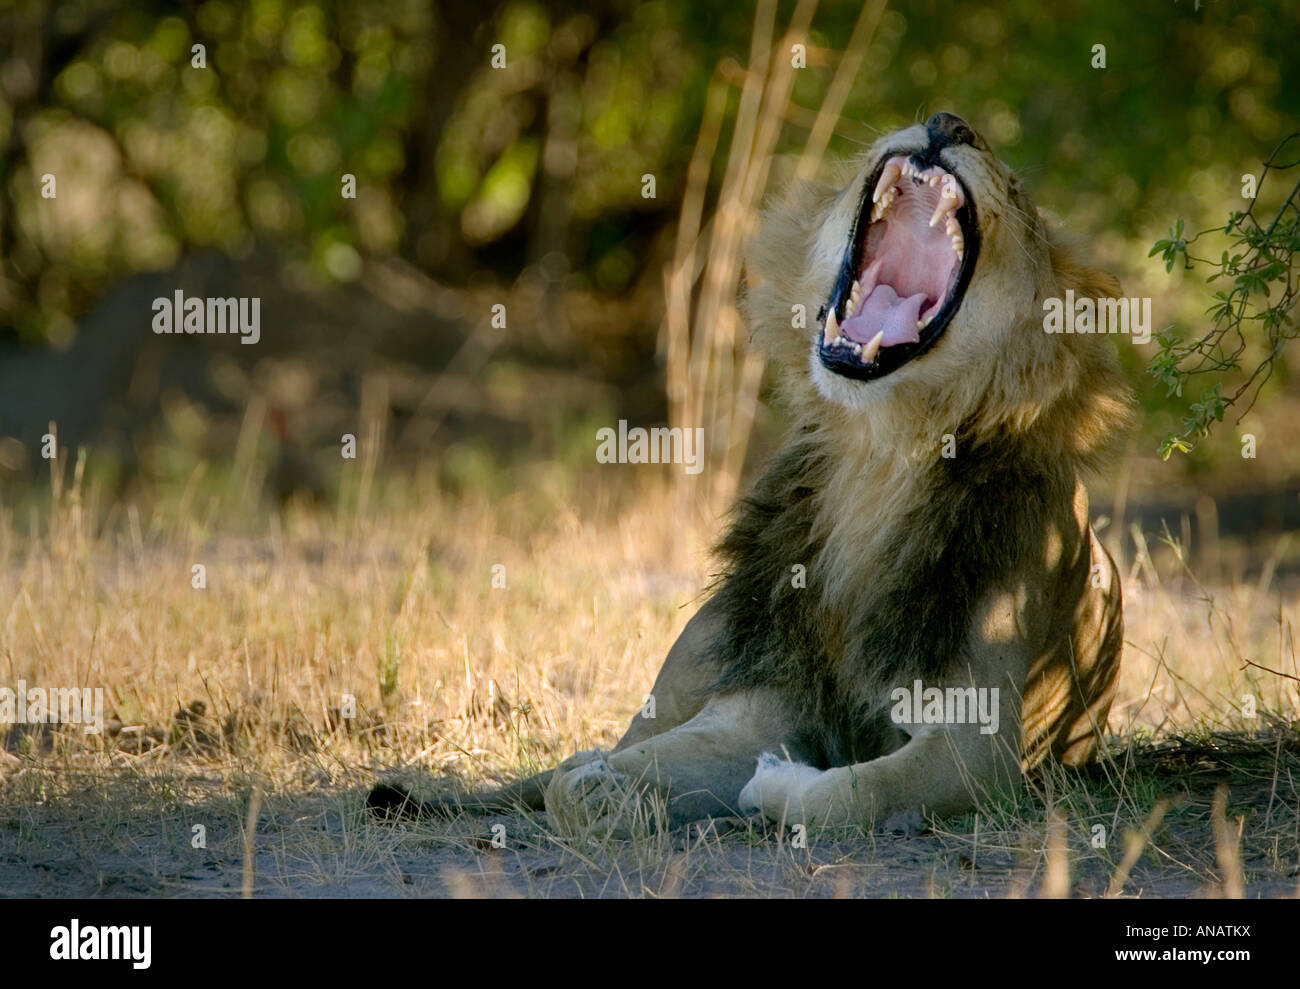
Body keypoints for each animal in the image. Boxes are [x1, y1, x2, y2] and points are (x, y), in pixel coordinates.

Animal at [368, 112, 1133, 836]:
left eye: (1020, 195)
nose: (949, 122)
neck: (879, 457)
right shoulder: (758, 696)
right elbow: (589, 781)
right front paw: (610, 792)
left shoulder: (980, 747)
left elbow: (851, 793)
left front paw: (773, 786)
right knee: (598, 749)